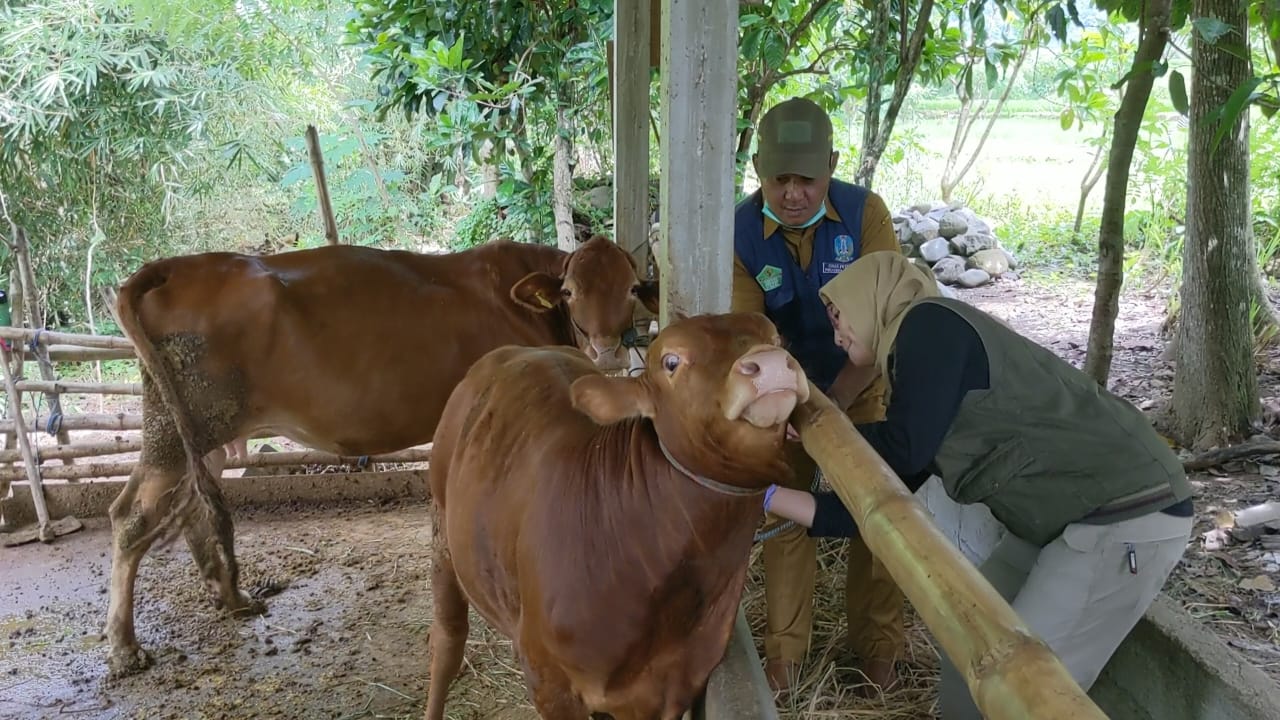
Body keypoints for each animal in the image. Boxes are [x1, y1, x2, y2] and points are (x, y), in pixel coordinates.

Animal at [106, 235, 660, 671]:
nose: (608, 349)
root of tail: (177, 265)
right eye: (570, 291)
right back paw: (124, 647)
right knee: (131, 515)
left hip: (202, 433)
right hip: (175, 432)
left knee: (189, 507)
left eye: (632, 288)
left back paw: (231, 598)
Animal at [427, 312, 808, 717]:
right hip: (443, 532)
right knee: (447, 640)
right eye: (671, 361)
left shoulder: (677, 683)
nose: (769, 361)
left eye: (777, 338)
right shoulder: (546, 679)